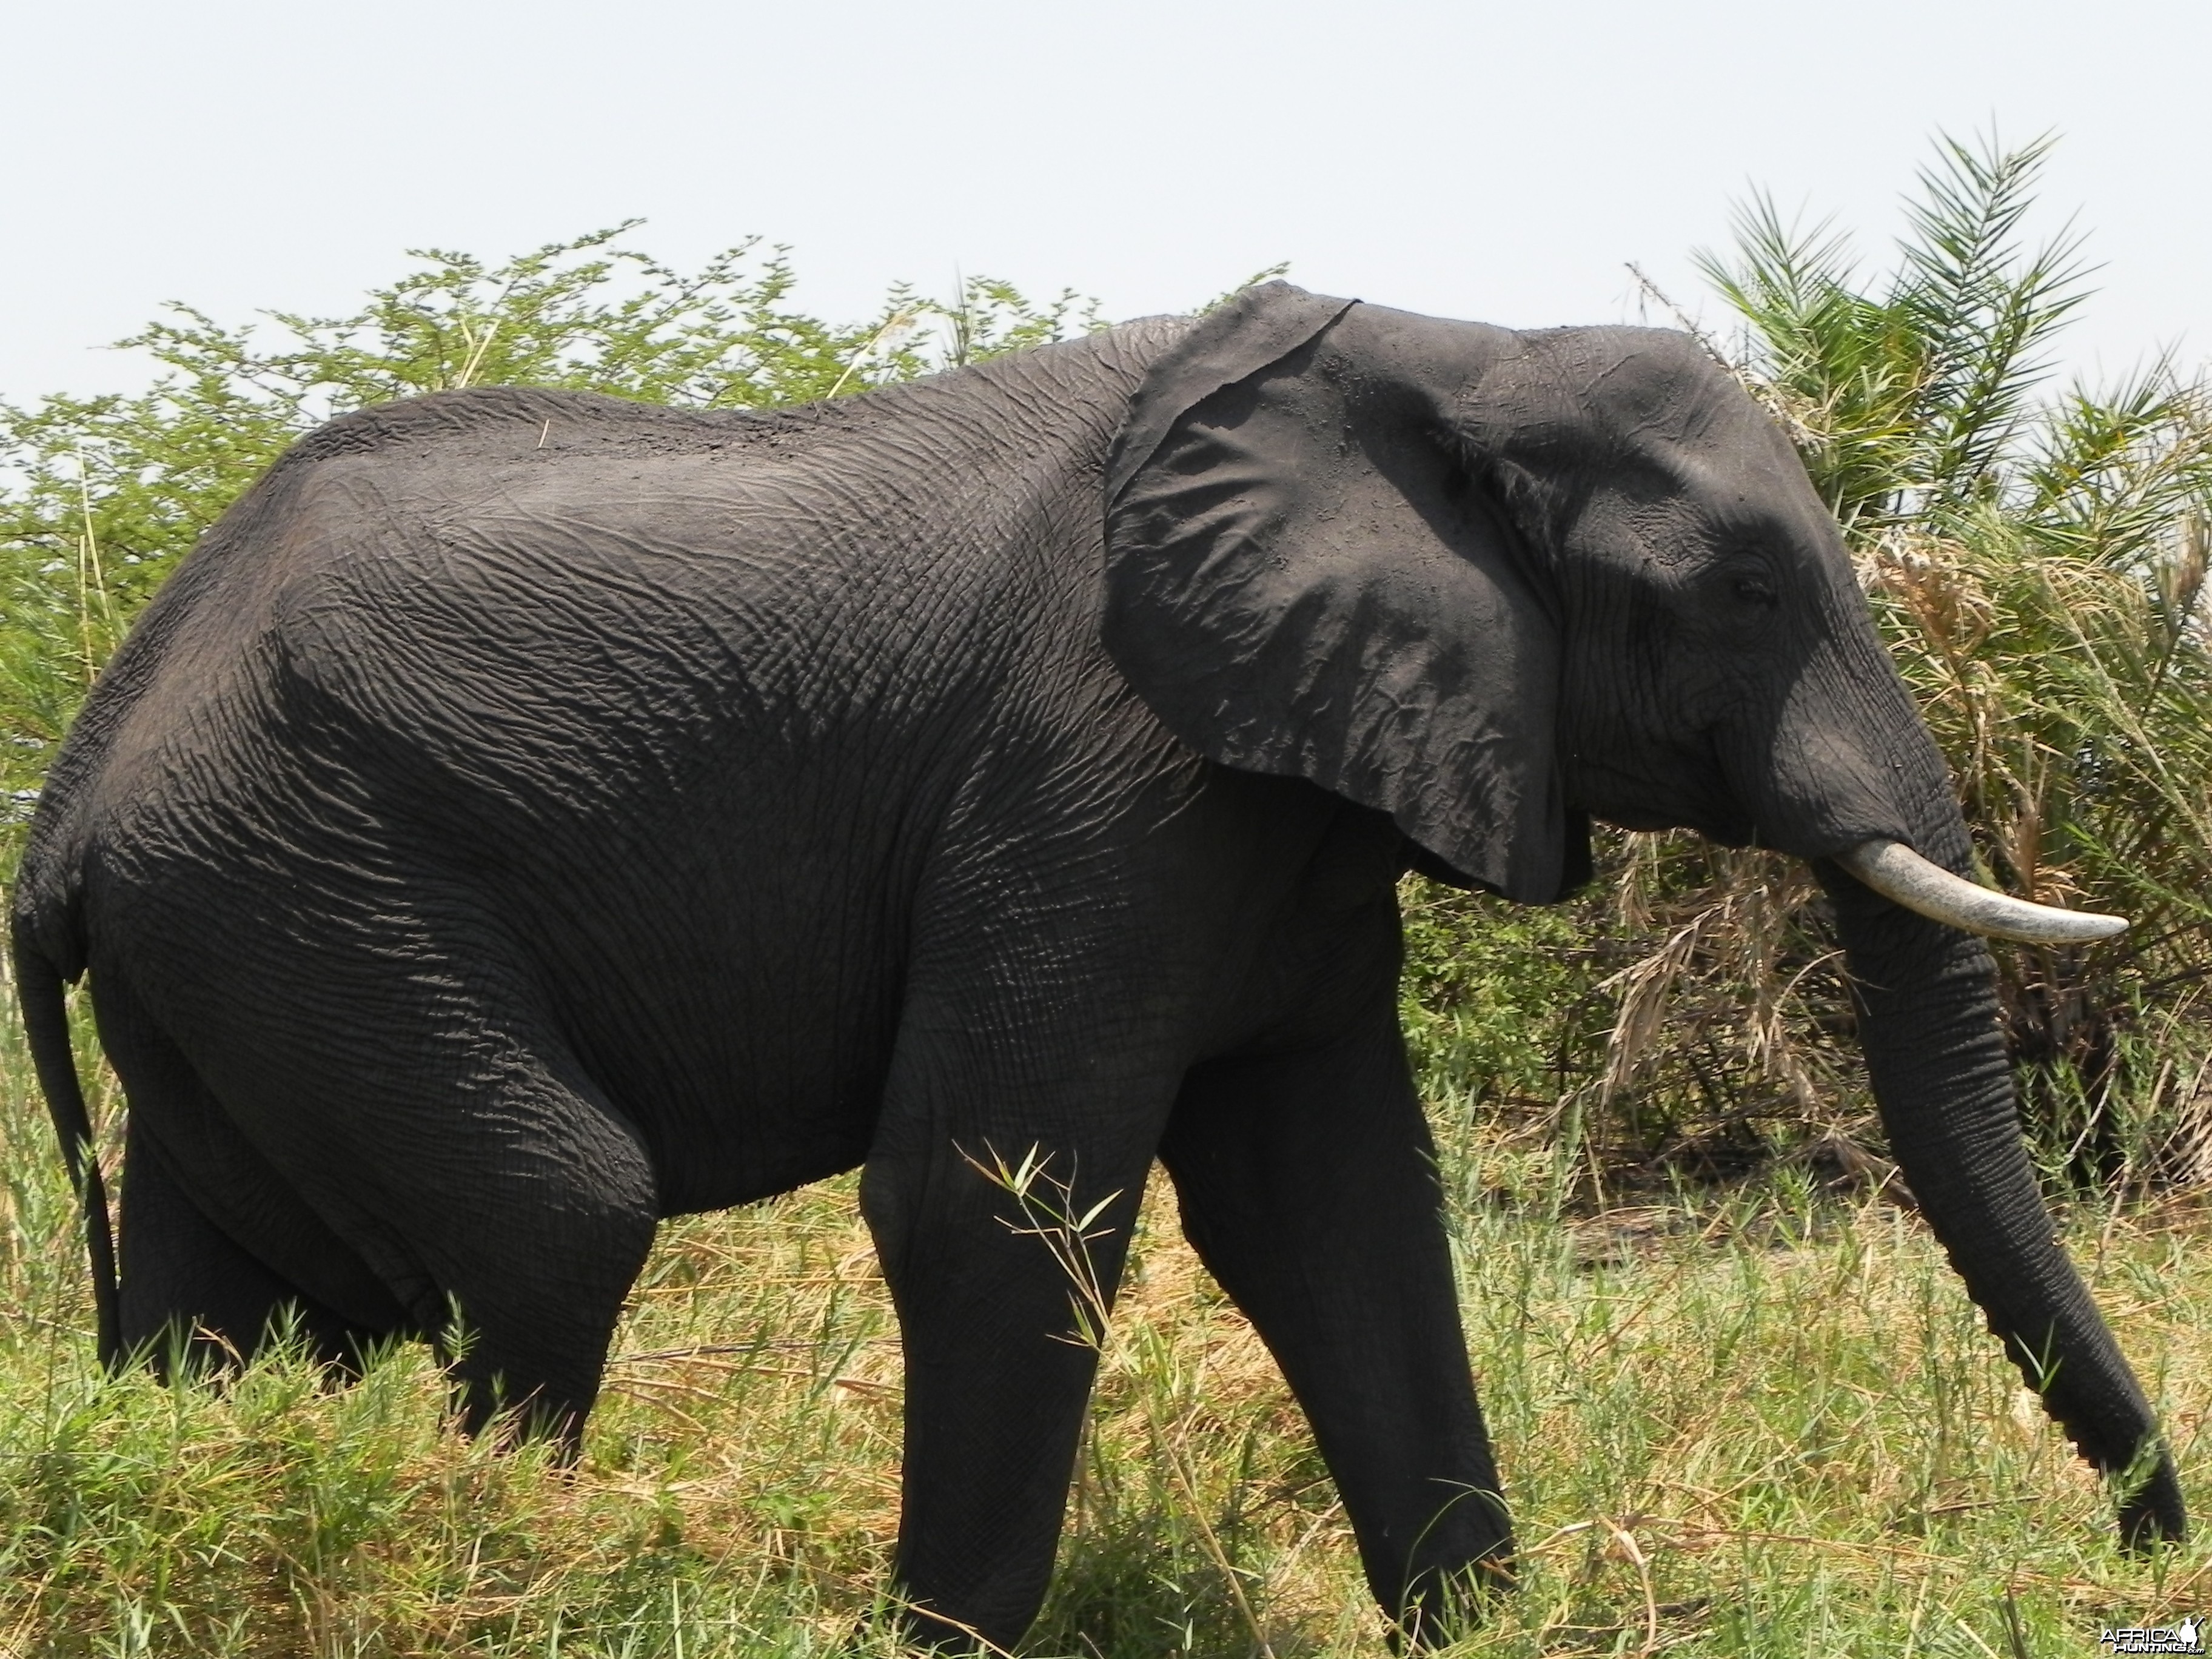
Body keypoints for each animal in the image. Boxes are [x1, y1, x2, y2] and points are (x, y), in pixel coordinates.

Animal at [13, 283, 2194, 1654]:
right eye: (1739, 587)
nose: (2146, 1545)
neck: (1437, 349)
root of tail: (87, 769)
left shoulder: (1281, 795)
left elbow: (1336, 1211)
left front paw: (1484, 1628)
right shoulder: (1089, 771)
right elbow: (997, 1194)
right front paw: (940, 1645)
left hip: (253, 927)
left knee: (221, 1288)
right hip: (313, 879)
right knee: (553, 1208)